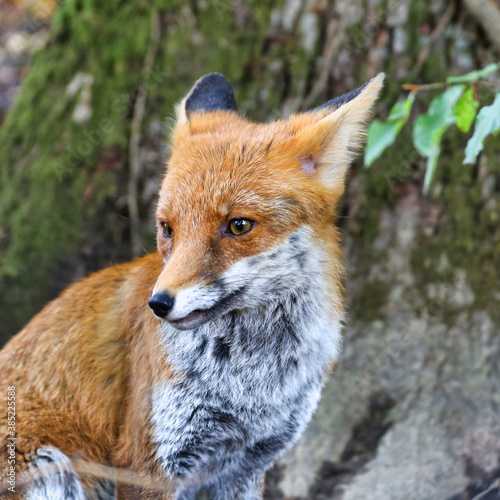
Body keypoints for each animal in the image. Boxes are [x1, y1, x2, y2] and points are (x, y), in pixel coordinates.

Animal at [0, 72, 384, 498]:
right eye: (167, 228)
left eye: (239, 225)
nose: (159, 304)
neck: (251, 384)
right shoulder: (148, 462)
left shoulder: (247, 464)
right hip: (51, 467)